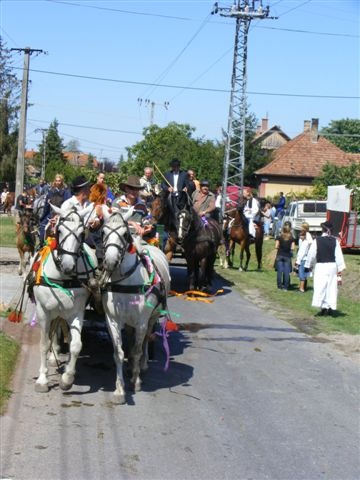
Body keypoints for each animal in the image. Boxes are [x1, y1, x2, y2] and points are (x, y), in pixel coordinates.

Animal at [31, 204, 97, 392]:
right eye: (59, 230)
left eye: (82, 233)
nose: (68, 265)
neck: (63, 277)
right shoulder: (43, 312)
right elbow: (44, 344)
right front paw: (42, 380)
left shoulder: (77, 312)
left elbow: (76, 345)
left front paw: (67, 377)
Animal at [99, 208, 171, 404]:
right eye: (103, 232)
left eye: (125, 234)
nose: (110, 261)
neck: (126, 282)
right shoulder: (113, 320)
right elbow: (119, 353)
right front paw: (119, 390)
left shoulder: (141, 322)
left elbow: (138, 349)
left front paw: (136, 381)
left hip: (151, 318)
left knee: (146, 339)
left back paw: (142, 365)